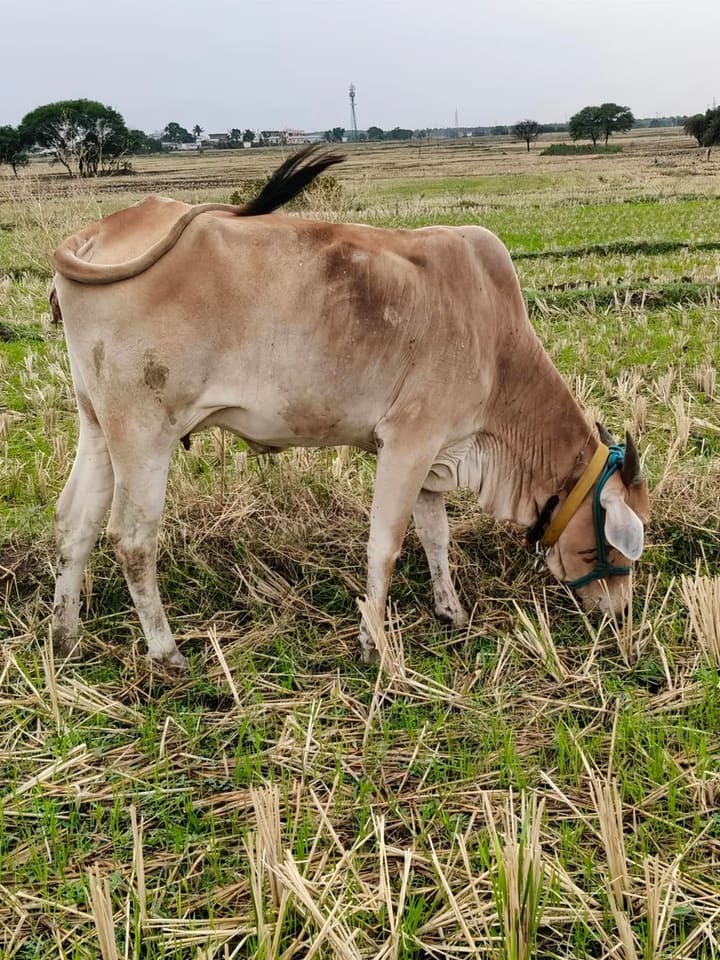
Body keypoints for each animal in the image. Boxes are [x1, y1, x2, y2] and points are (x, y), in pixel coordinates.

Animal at [49, 147, 650, 669]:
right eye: (615, 547)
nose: (621, 613)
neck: (496, 345)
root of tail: (99, 231)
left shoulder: (434, 453)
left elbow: (436, 535)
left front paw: (450, 610)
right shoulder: (408, 442)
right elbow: (385, 546)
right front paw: (374, 645)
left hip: (97, 424)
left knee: (75, 521)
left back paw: (65, 634)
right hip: (144, 432)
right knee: (132, 540)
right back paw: (166, 652)